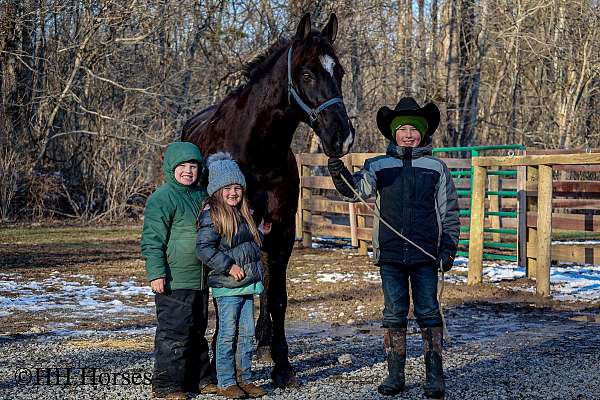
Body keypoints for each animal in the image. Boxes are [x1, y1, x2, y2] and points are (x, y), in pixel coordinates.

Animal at [180, 13, 354, 388]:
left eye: (340, 72)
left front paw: (282, 365)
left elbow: (277, 297)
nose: (342, 137)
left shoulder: (282, 232)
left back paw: (260, 340)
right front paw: (215, 363)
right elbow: (223, 294)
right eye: (307, 73)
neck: (255, 152)